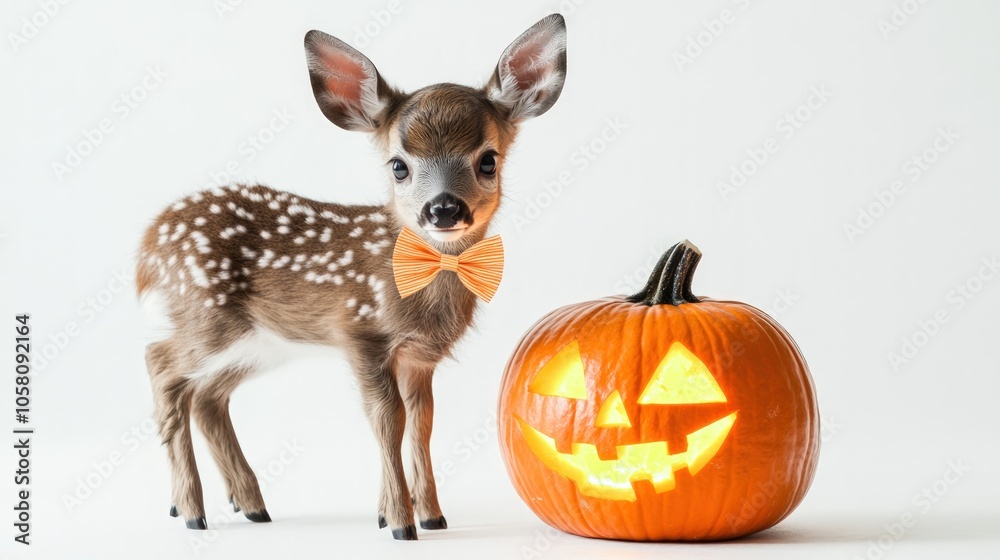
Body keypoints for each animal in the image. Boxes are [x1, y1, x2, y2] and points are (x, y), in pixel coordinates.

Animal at [135, 14, 566, 540]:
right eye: (399, 165)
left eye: (488, 160)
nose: (443, 209)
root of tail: (150, 244)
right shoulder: (360, 334)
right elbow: (387, 420)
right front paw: (400, 522)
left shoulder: (420, 356)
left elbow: (421, 423)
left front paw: (429, 515)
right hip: (206, 315)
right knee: (160, 364)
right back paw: (191, 510)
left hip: (257, 343)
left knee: (207, 397)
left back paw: (249, 505)